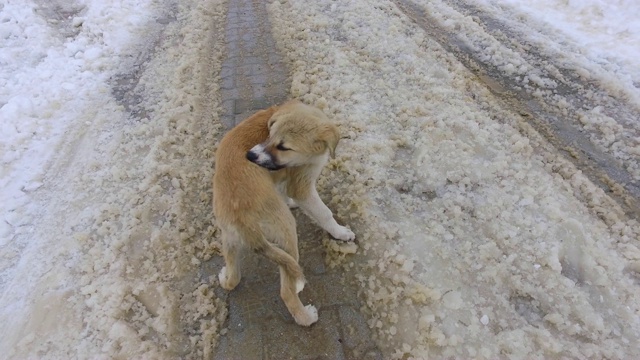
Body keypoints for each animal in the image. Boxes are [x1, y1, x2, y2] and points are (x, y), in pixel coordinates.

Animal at [214, 99, 356, 326]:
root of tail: (243, 220)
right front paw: (341, 233)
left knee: (234, 279)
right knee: (286, 291)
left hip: (229, 239)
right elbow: (324, 213)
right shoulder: (302, 186)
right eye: (269, 136)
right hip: (287, 229)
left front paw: (289, 202)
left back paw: (225, 277)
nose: (250, 155)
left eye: (283, 147)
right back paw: (305, 316)